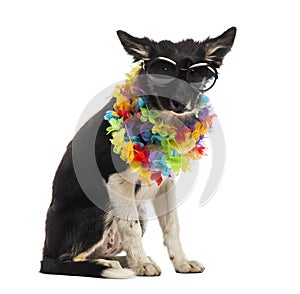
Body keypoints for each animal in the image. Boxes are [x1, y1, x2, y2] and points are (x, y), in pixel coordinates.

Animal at [40, 28, 237, 280]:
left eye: (197, 75)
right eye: (163, 73)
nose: (182, 103)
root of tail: (45, 251)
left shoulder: (166, 184)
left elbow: (172, 226)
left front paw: (181, 262)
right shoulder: (116, 181)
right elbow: (129, 227)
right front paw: (141, 264)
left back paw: (120, 261)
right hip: (99, 207)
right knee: (66, 260)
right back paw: (111, 264)